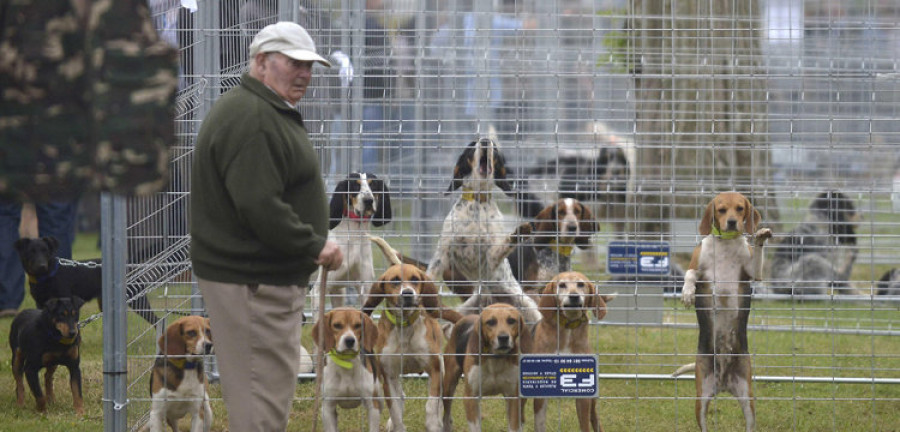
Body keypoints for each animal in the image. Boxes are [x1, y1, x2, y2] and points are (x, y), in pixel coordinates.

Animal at [440, 302, 532, 432]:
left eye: (511, 320)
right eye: (491, 322)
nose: (503, 337)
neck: (496, 358)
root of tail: (465, 318)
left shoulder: (514, 398)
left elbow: (514, 426)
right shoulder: (470, 398)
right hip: (449, 385)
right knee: (447, 414)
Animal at [536, 272, 612, 430]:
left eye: (581, 284)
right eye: (562, 285)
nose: (574, 296)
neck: (569, 327)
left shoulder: (584, 394)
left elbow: (585, 424)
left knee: (594, 417)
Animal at [676, 192, 772, 432]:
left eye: (740, 208)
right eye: (720, 209)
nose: (731, 222)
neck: (726, 243)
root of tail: (723, 383)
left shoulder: (753, 272)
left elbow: (757, 259)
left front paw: (761, 237)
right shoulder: (698, 268)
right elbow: (690, 274)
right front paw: (688, 293)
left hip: (748, 398)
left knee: (750, 423)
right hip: (700, 399)